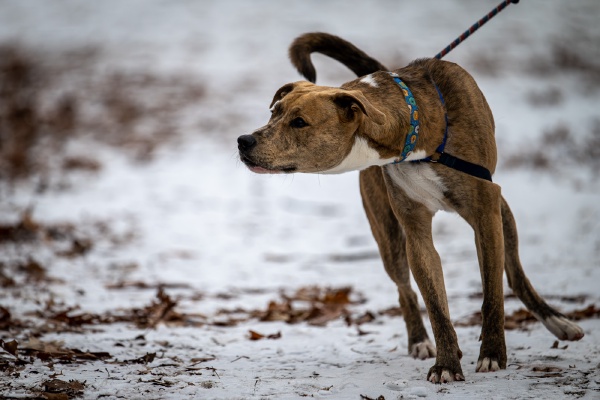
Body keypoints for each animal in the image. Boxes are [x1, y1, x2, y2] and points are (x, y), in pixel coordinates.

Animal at [237, 32, 584, 382]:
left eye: (299, 122)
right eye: (273, 112)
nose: (243, 140)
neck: (416, 134)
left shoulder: (485, 211)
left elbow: (492, 292)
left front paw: (492, 354)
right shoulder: (414, 229)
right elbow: (435, 303)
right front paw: (447, 364)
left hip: (502, 212)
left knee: (513, 272)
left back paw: (557, 321)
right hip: (387, 234)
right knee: (404, 288)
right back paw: (420, 341)